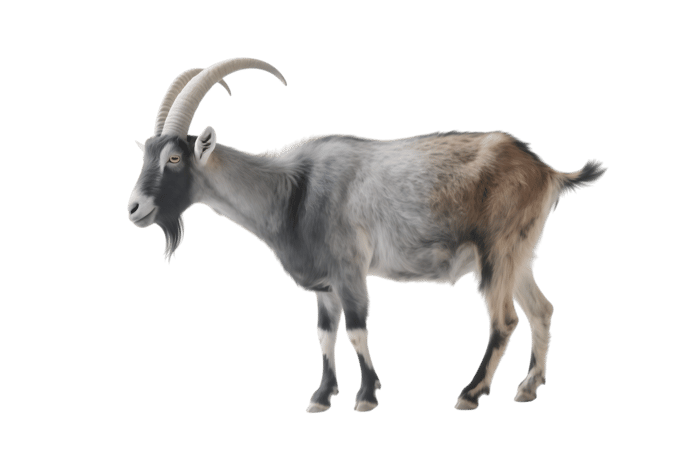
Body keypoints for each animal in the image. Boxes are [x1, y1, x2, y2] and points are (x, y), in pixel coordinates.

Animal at [127, 57, 608, 413]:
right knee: (541, 310)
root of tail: (545, 170)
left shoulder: (349, 268)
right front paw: (321, 397)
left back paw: (470, 394)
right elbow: (324, 332)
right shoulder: (324, 285)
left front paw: (367, 396)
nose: (134, 208)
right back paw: (527, 388)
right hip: (520, 255)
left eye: (174, 158)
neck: (293, 187)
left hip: (497, 252)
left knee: (504, 319)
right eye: (147, 153)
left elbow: (357, 327)